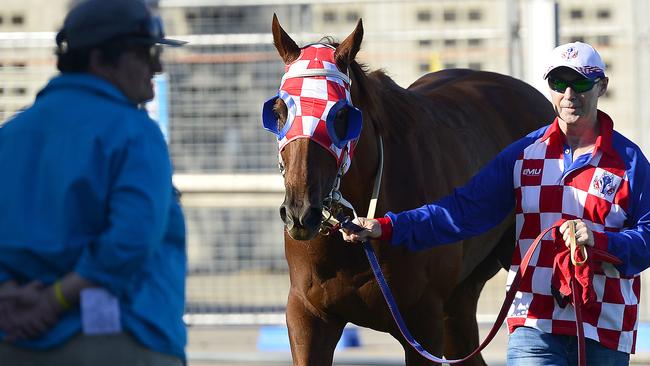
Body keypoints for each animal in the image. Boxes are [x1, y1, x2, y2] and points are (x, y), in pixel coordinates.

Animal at [260, 15, 556, 364]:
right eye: (279, 111)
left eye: (342, 114)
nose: (301, 213)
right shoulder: (308, 315)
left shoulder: (422, 324)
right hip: (460, 298)